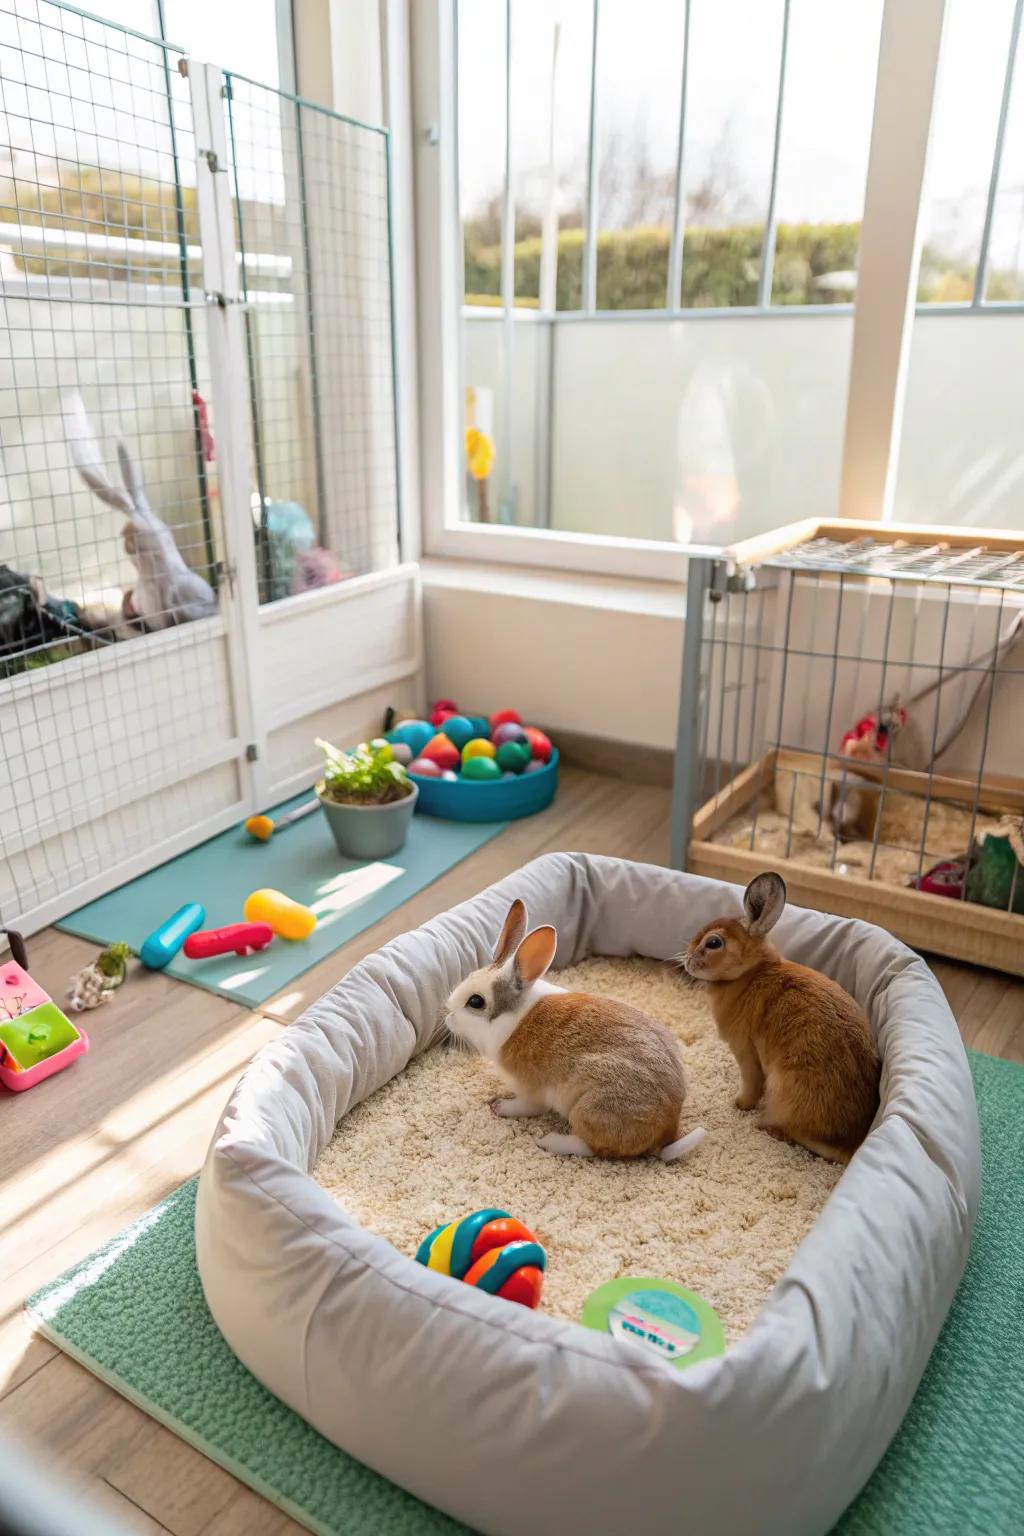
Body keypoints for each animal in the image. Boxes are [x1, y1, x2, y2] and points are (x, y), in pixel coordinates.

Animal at [446, 898, 706, 1162]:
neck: (513, 1015)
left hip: (588, 1109)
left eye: (476, 1001)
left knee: (590, 1147)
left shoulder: (529, 1089)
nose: (448, 1016)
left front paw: (500, 1106)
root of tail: (666, 1135)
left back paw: (549, 1141)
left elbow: (527, 1106)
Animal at [682, 872, 879, 1163]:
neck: (749, 974)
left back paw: (768, 1127)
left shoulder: (745, 1050)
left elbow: (752, 1082)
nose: (687, 961)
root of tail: (849, 1144)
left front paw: (739, 1103)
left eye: (714, 943)